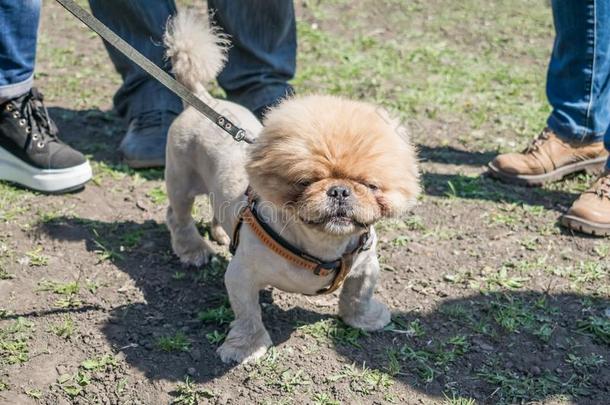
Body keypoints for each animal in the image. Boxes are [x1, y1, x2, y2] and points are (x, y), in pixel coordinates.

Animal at [162, 11, 418, 362]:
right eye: (304, 182)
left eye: (370, 185)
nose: (339, 190)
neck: (321, 248)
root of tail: (203, 99)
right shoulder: (241, 276)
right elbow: (248, 314)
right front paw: (245, 348)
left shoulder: (366, 266)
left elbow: (357, 295)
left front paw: (363, 319)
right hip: (182, 182)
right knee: (178, 217)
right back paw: (193, 250)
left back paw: (220, 233)